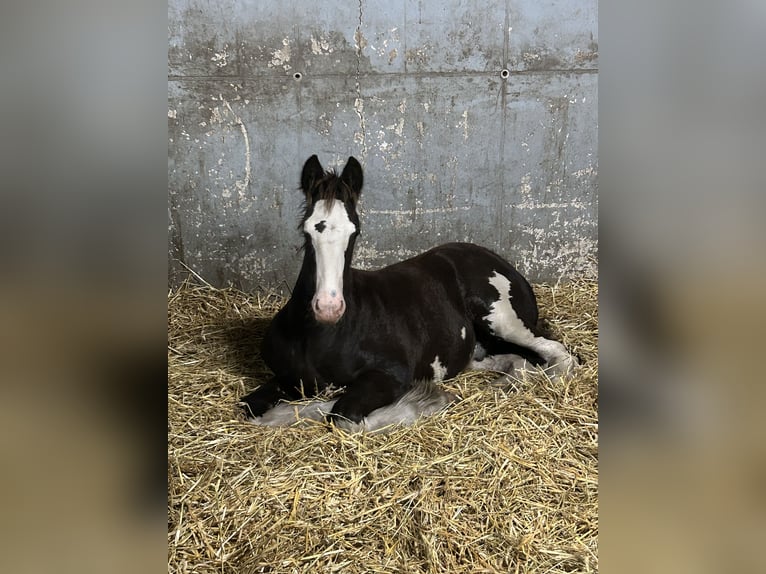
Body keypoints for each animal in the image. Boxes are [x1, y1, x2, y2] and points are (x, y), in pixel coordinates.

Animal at [243, 155, 580, 434]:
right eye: (308, 229)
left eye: (355, 231)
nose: (328, 307)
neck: (321, 336)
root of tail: (500, 261)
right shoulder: (286, 379)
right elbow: (251, 407)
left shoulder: (391, 374)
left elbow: (341, 413)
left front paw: (425, 400)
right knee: (509, 361)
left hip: (504, 319)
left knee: (558, 354)